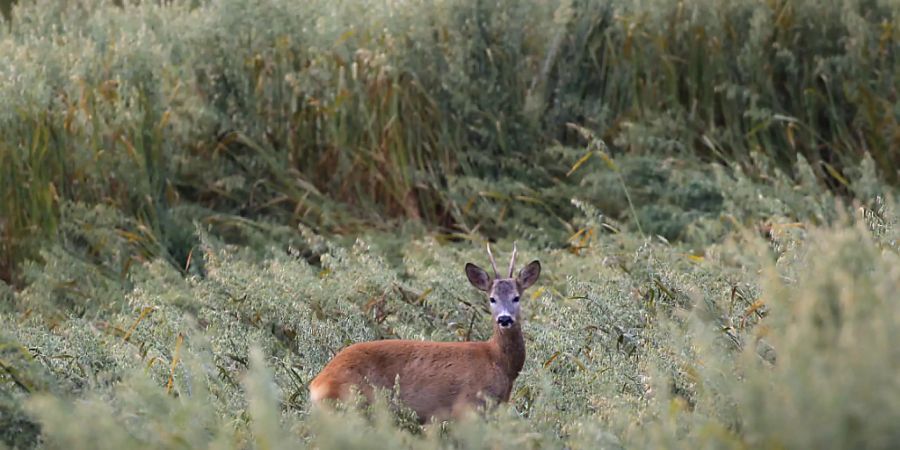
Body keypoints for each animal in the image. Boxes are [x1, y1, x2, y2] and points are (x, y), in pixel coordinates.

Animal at [308, 243, 540, 422]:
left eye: (517, 297)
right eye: (492, 298)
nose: (504, 319)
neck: (498, 361)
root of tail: (317, 384)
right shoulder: (466, 406)